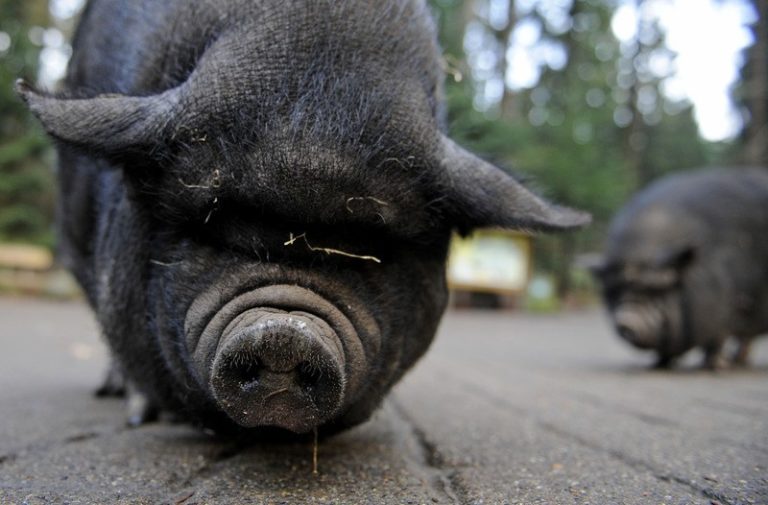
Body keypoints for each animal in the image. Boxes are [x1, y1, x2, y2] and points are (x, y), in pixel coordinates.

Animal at [592, 167, 768, 368]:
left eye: (656, 289)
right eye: (616, 290)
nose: (626, 322)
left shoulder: (729, 306)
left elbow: (718, 338)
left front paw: (715, 367)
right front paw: (659, 365)